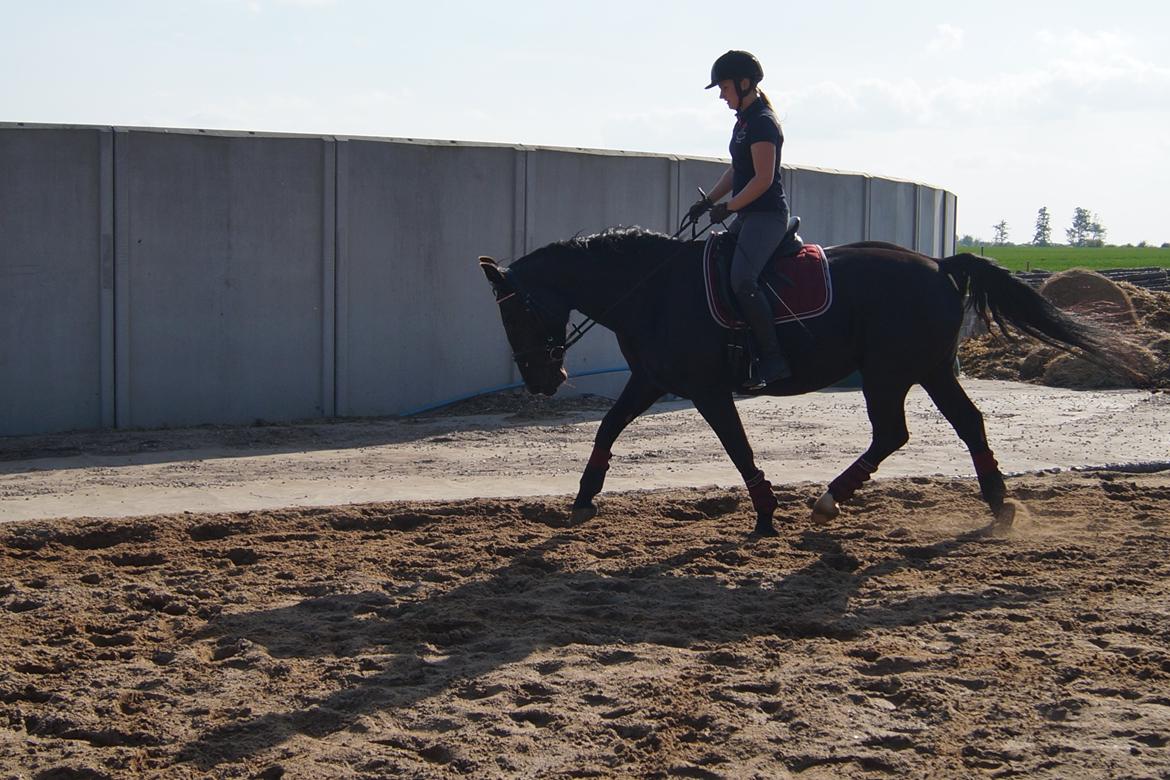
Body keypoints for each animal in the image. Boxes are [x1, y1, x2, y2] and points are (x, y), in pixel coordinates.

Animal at [479, 226, 1146, 537]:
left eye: (515, 313)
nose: (541, 379)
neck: (653, 290)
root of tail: (938, 264)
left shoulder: (705, 389)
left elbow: (736, 446)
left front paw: (766, 511)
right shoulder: (650, 378)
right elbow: (609, 430)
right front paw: (583, 497)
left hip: (887, 373)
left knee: (893, 434)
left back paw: (829, 499)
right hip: (927, 369)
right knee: (967, 423)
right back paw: (999, 504)